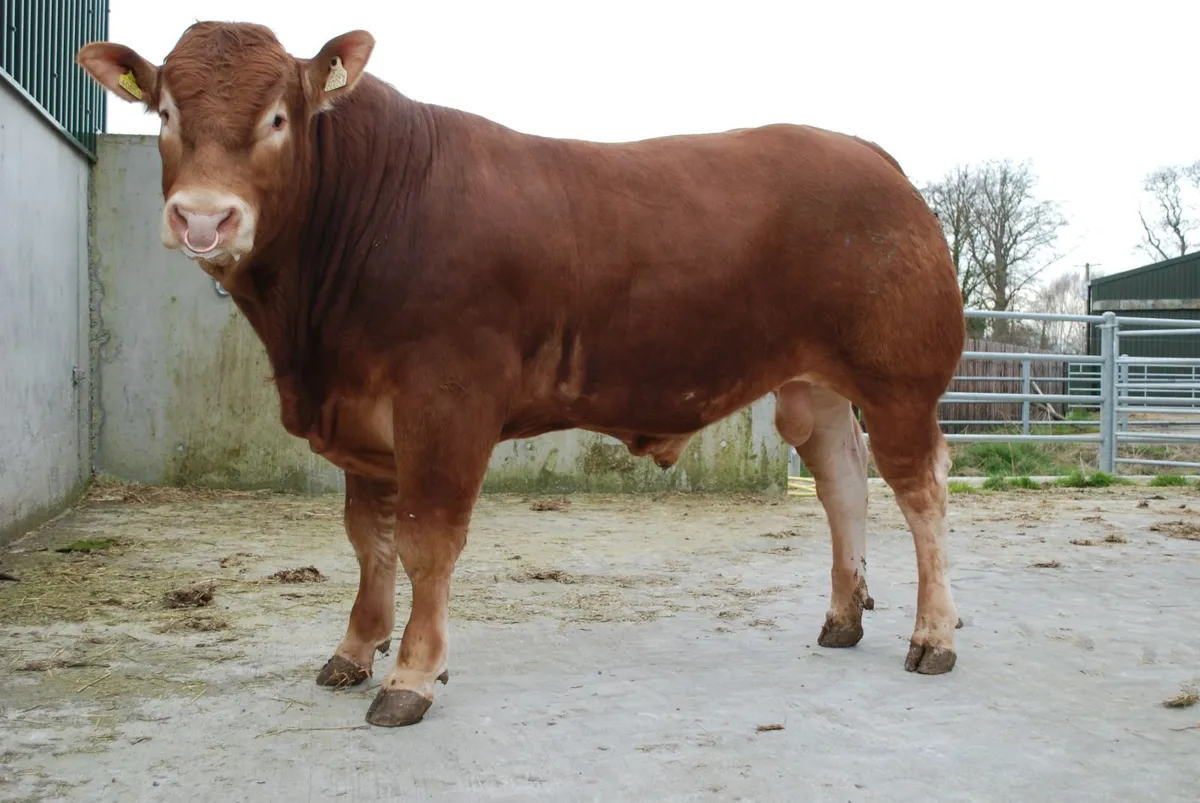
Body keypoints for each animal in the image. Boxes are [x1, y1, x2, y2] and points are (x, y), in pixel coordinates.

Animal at [76, 21, 967, 728]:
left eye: (277, 118)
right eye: (165, 112)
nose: (203, 217)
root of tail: (864, 152)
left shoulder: (445, 403)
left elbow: (427, 539)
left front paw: (411, 674)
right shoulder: (362, 415)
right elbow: (370, 541)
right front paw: (355, 648)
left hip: (901, 382)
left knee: (921, 492)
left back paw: (933, 635)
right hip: (814, 387)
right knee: (843, 483)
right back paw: (844, 616)